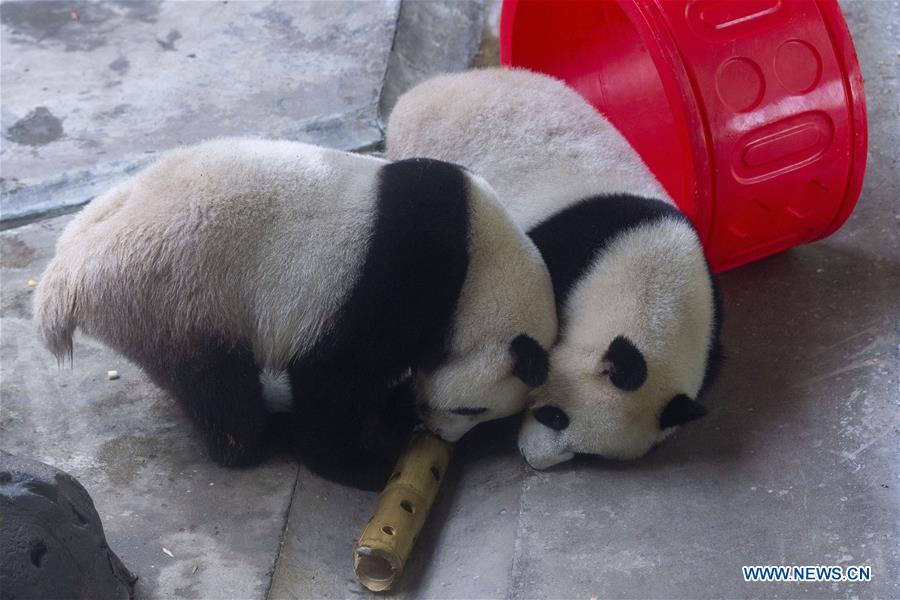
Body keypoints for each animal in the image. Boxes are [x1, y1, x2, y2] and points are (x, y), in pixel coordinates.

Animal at [37, 137, 556, 488]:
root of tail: (66, 273)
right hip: (177, 294)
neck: (481, 270)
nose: (440, 434)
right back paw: (261, 436)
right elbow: (335, 377)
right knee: (219, 384)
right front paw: (361, 464)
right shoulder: (395, 279)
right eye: (471, 409)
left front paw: (395, 408)